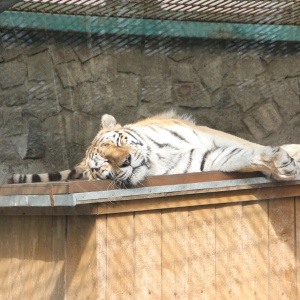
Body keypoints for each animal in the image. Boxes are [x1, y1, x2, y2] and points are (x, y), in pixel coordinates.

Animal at [7, 111, 300, 186]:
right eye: (104, 164)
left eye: (119, 142)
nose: (126, 161)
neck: (156, 158)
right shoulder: (205, 161)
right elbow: (241, 156)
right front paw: (279, 165)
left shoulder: (211, 137)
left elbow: (248, 145)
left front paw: (287, 156)